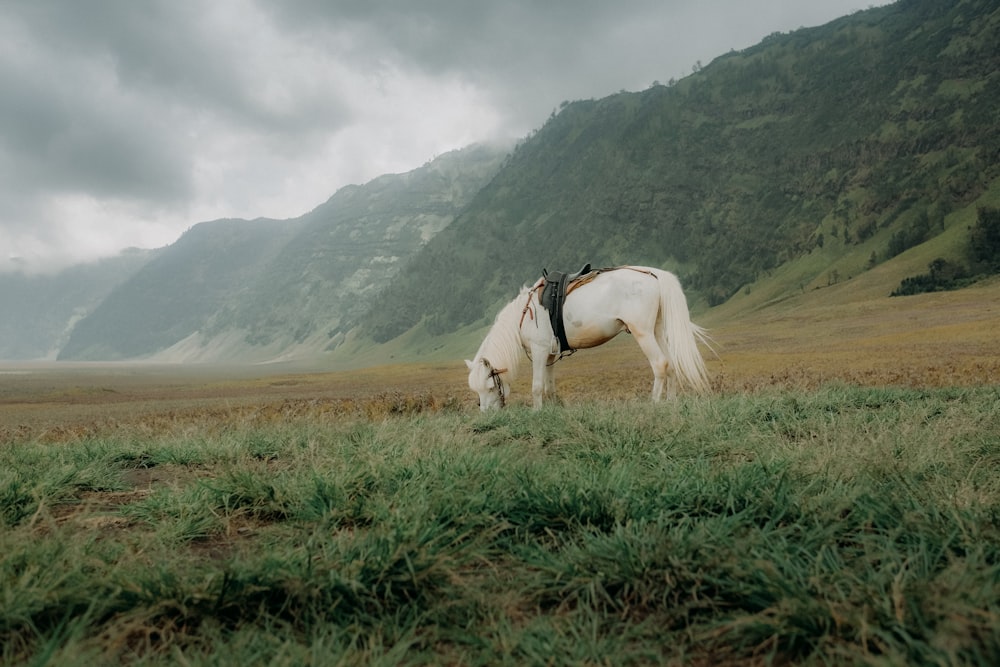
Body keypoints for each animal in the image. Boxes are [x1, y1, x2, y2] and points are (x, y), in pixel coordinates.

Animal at [466, 268, 712, 410]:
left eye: (490, 387)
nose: (488, 415)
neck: (524, 314)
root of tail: (653, 276)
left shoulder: (538, 351)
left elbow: (536, 387)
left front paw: (537, 412)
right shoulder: (549, 356)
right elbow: (548, 385)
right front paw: (553, 408)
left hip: (642, 332)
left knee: (660, 364)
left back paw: (654, 403)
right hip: (657, 331)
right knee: (670, 364)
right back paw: (671, 402)